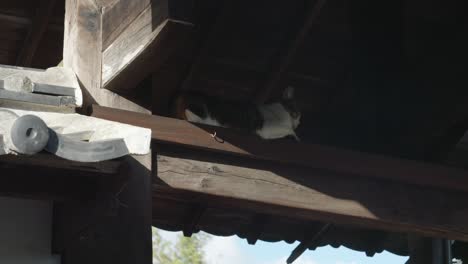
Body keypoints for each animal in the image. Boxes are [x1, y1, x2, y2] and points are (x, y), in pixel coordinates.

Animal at [174, 86, 302, 141]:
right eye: (296, 112)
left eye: (299, 118)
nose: (298, 123)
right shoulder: (266, 129)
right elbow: (290, 130)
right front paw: (297, 137)